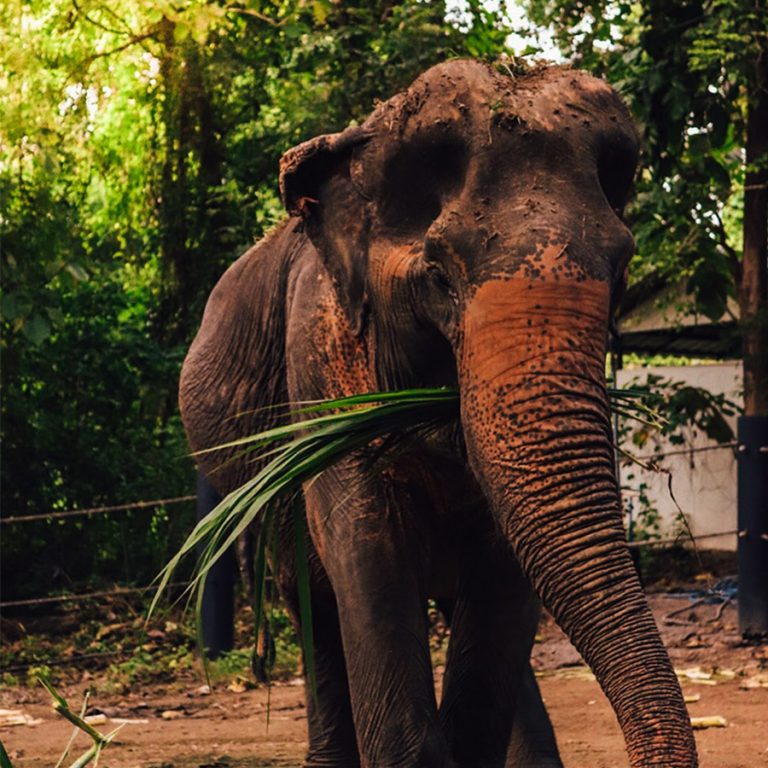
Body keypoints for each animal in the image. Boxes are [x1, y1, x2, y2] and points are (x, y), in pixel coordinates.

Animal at [180, 60, 698, 768]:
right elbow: (367, 551)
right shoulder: (318, 350)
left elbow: (504, 581)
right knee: (311, 601)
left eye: (620, 270)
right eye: (439, 277)